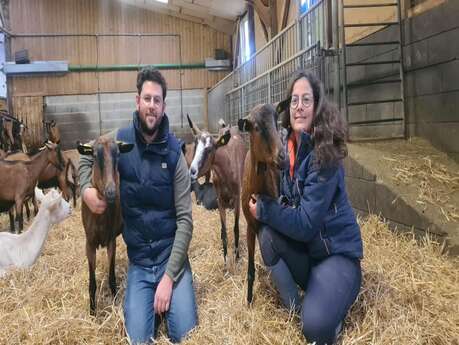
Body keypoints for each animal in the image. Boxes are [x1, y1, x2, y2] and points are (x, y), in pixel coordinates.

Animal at [77, 134, 133, 314]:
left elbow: (111, 278)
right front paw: (92, 312)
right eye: (94, 155)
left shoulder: (111, 241)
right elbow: (92, 283)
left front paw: (115, 304)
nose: (111, 192)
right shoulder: (89, 243)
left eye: (118, 155)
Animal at [186, 114, 248, 262]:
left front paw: (237, 258)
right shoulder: (220, 200)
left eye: (209, 149)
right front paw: (225, 260)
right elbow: (223, 231)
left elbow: (236, 228)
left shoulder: (236, 198)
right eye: (195, 146)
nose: (192, 172)